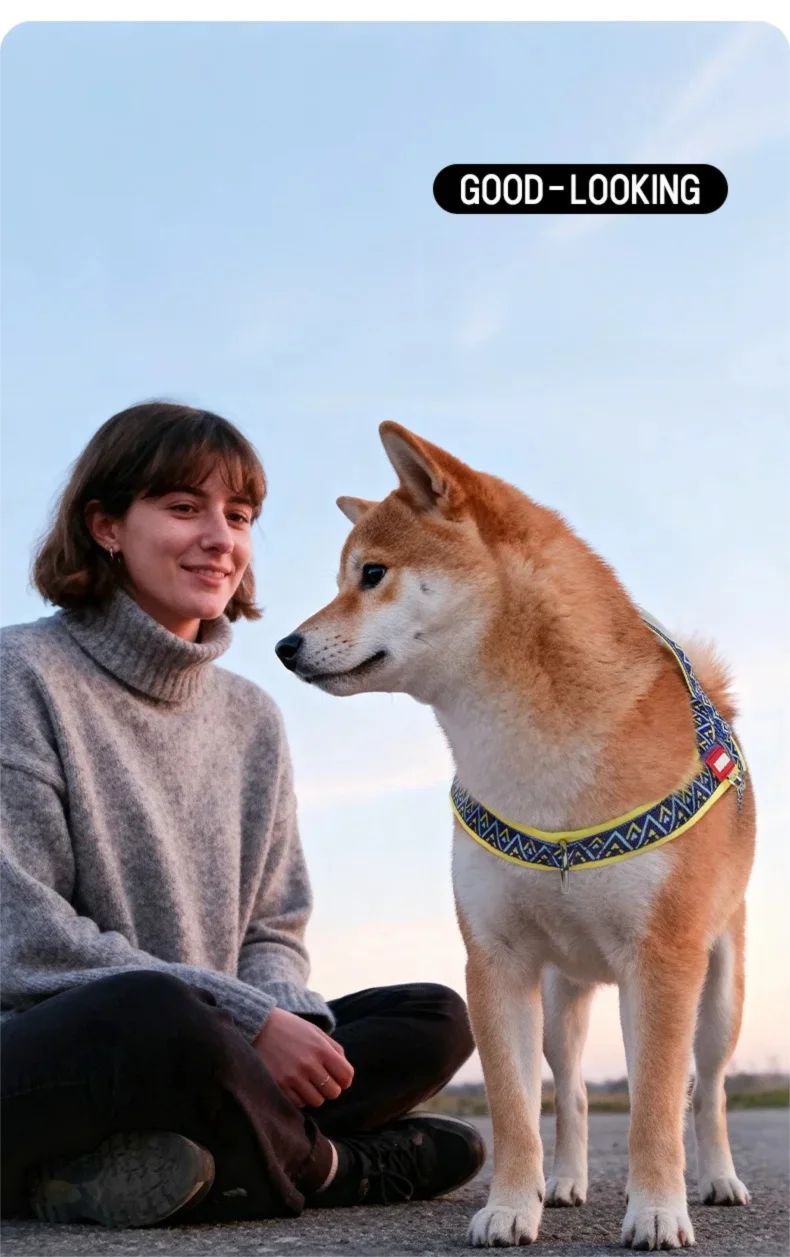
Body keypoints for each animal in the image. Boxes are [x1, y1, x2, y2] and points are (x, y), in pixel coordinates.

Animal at [275, 424, 755, 1249]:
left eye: (371, 573)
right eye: (345, 575)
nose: (284, 644)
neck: (536, 766)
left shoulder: (662, 959)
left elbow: (660, 1104)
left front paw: (659, 1209)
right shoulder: (495, 959)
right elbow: (514, 1106)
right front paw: (509, 1205)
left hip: (715, 993)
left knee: (705, 1090)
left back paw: (718, 1179)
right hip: (564, 997)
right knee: (573, 1092)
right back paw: (562, 1182)